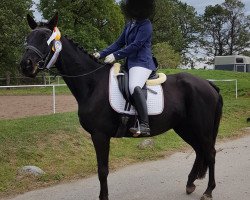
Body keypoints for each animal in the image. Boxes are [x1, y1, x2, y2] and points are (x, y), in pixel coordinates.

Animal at [20, 13, 223, 199]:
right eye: (28, 38)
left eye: (45, 39)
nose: (25, 65)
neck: (93, 83)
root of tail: (208, 84)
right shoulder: (98, 135)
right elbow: (102, 169)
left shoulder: (100, 135)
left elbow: (102, 170)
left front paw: (103, 197)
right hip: (185, 127)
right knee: (199, 151)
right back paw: (190, 184)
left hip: (200, 128)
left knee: (210, 153)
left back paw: (208, 191)